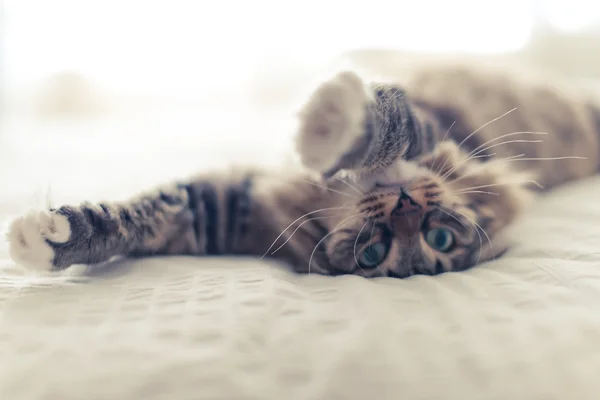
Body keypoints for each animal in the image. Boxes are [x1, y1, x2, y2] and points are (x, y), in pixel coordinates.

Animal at [4, 65, 600, 278]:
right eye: (375, 250)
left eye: (437, 239)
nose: (407, 207)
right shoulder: (221, 205)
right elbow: (124, 219)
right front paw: (49, 239)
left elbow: (388, 125)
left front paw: (331, 122)